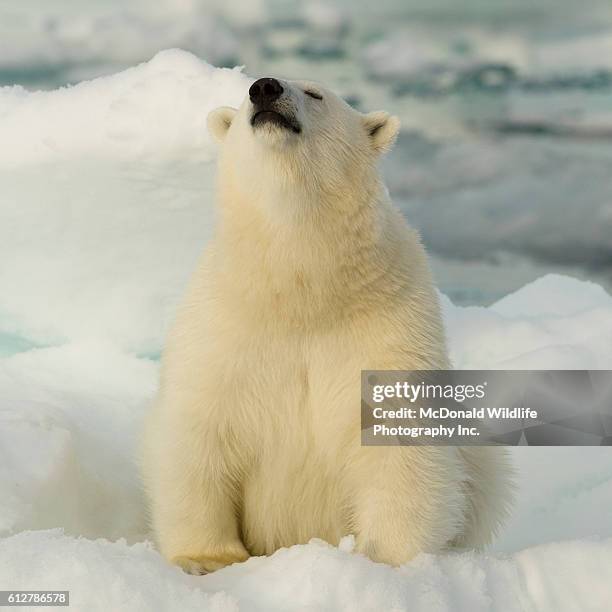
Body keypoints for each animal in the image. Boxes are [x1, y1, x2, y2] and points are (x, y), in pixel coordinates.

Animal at [142, 76, 512, 572]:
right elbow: (198, 433)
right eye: (244, 98)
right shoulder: (220, 327)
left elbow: (398, 441)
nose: (265, 88)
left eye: (315, 93)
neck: (302, 296)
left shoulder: (390, 331)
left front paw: (385, 560)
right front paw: (206, 559)